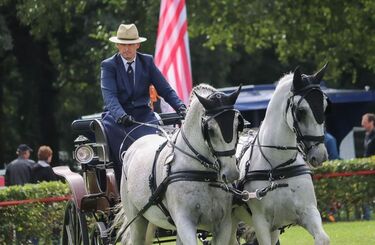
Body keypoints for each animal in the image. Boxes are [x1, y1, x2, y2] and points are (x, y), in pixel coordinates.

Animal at [117, 83, 245, 244]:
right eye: (210, 130)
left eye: (238, 125)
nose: (231, 173)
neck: (202, 174)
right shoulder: (184, 222)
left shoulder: (223, 224)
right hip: (138, 220)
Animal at [232, 65, 332, 245]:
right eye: (301, 111)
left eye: (325, 106)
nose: (319, 155)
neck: (278, 167)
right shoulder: (261, 223)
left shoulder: (307, 211)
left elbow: (323, 239)